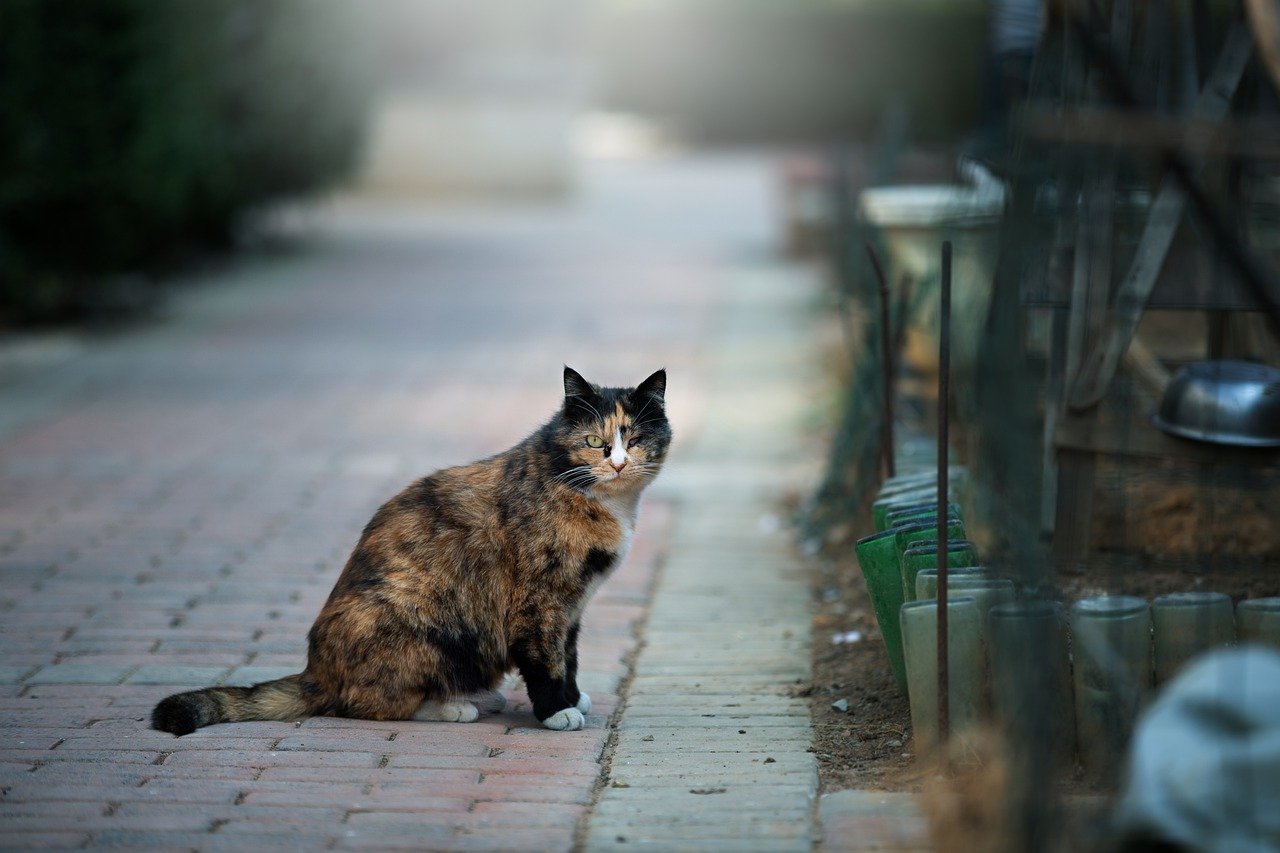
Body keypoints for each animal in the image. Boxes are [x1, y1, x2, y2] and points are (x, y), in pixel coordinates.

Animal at [152, 363, 670, 732]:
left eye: (635, 439)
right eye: (594, 441)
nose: (619, 464)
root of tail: (317, 671)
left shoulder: (572, 606)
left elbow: (570, 655)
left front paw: (573, 695)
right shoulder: (538, 601)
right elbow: (546, 658)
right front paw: (556, 711)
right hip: (425, 620)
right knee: (363, 703)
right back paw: (451, 707)